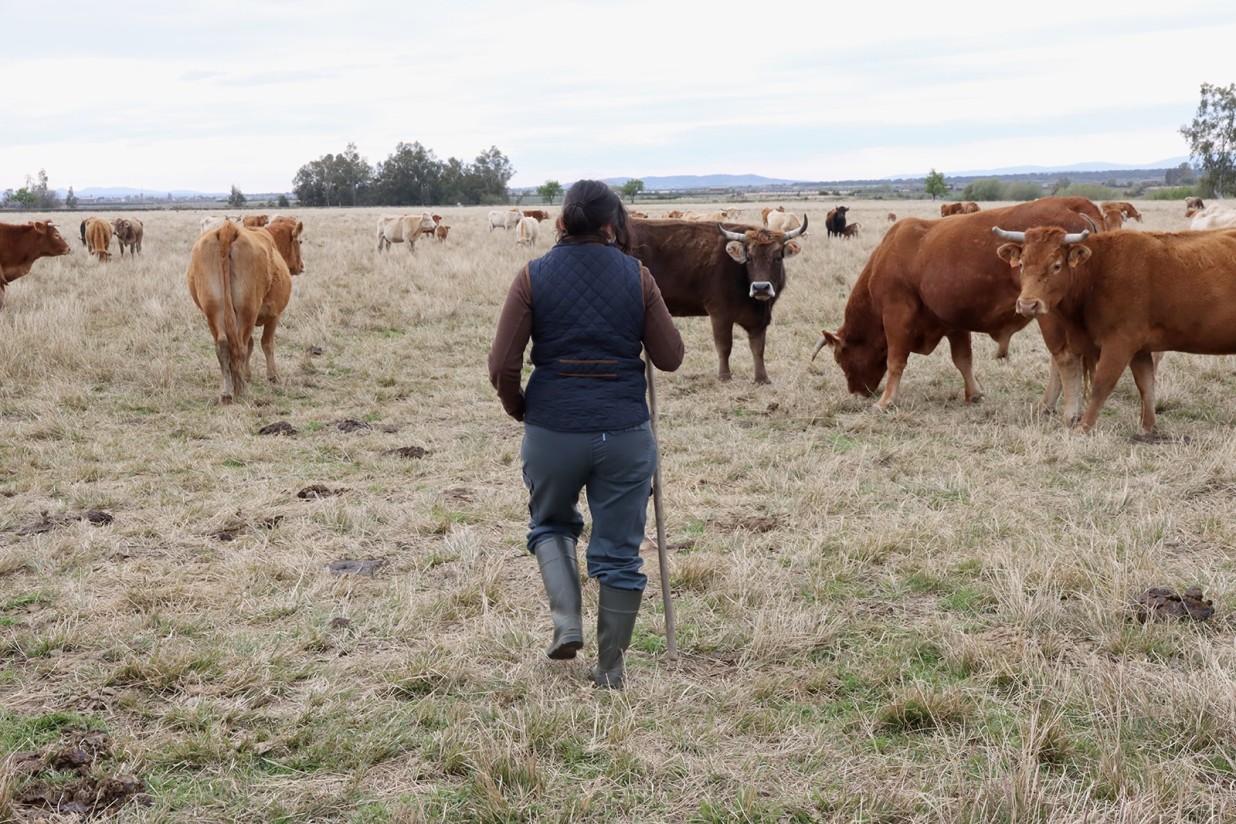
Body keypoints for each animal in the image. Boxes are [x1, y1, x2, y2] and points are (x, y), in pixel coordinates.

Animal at [187, 221, 304, 405]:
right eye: (300, 242)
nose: (302, 266)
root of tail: (228, 229)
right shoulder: (274, 315)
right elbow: (266, 344)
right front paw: (273, 376)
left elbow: (251, 344)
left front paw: (247, 374)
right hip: (247, 311)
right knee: (240, 347)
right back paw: (241, 390)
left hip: (214, 311)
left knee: (223, 345)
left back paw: (227, 392)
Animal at [627, 212, 810, 380]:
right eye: (749, 258)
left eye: (778, 257)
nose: (760, 287)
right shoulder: (720, 315)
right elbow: (724, 346)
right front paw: (724, 376)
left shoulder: (759, 320)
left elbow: (758, 349)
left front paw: (762, 378)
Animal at [815, 193, 1107, 412]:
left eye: (840, 358)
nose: (855, 392)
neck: (889, 255)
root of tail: (1071, 203)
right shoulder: (953, 322)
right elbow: (963, 360)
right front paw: (974, 393)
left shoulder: (896, 316)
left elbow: (895, 361)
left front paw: (886, 401)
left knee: (1063, 358)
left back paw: (1058, 407)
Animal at [993, 222, 1236, 434]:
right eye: (1022, 264)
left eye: (1056, 266)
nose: (1027, 304)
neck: (1098, 273)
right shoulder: (1140, 349)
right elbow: (1146, 384)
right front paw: (1148, 428)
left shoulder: (1119, 342)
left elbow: (1102, 385)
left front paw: (1083, 428)